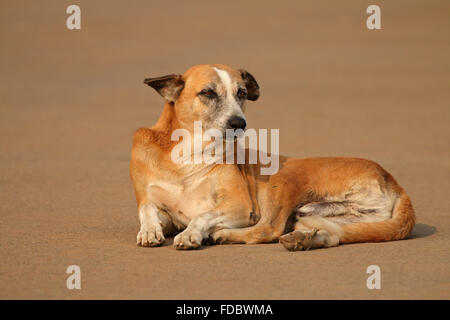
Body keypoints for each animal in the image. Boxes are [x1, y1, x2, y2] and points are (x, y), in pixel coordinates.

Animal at [129, 63, 414, 251]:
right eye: (208, 92)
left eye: (242, 93)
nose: (239, 123)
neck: (188, 156)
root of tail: (393, 180)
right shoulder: (163, 210)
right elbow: (147, 209)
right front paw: (149, 230)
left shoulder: (241, 206)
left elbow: (202, 216)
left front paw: (191, 235)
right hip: (321, 216)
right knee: (333, 234)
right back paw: (306, 240)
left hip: (284, 178)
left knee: (269, 229)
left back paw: (223, 235)